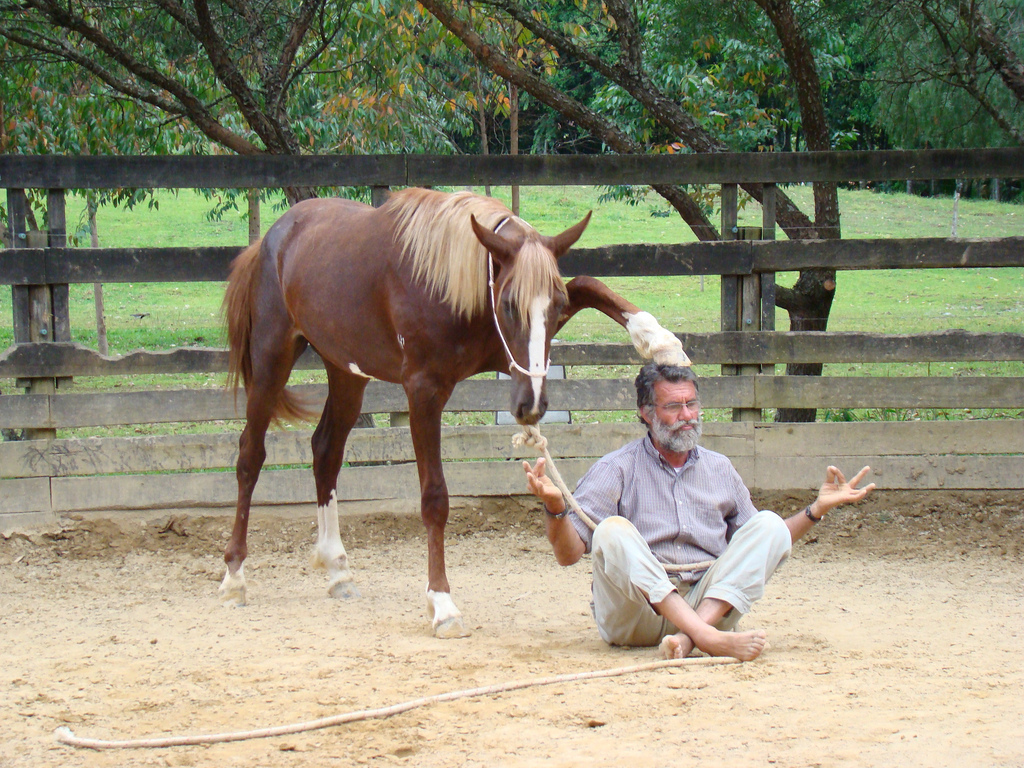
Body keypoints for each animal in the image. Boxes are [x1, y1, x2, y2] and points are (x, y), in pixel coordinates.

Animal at [221, 188, 692, 638]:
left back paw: (337, 569)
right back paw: (234, 576)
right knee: (250, 456)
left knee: (326, 452)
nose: (532, 405)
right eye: (508, 305)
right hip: (271, 359)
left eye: (555, 307)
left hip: (346, 371)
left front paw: (660, 342)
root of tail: (271, 238)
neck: (457, 285)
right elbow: (434, 499)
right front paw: (442, 603)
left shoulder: (508, 353)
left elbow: (589, 283)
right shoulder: (424, 392)